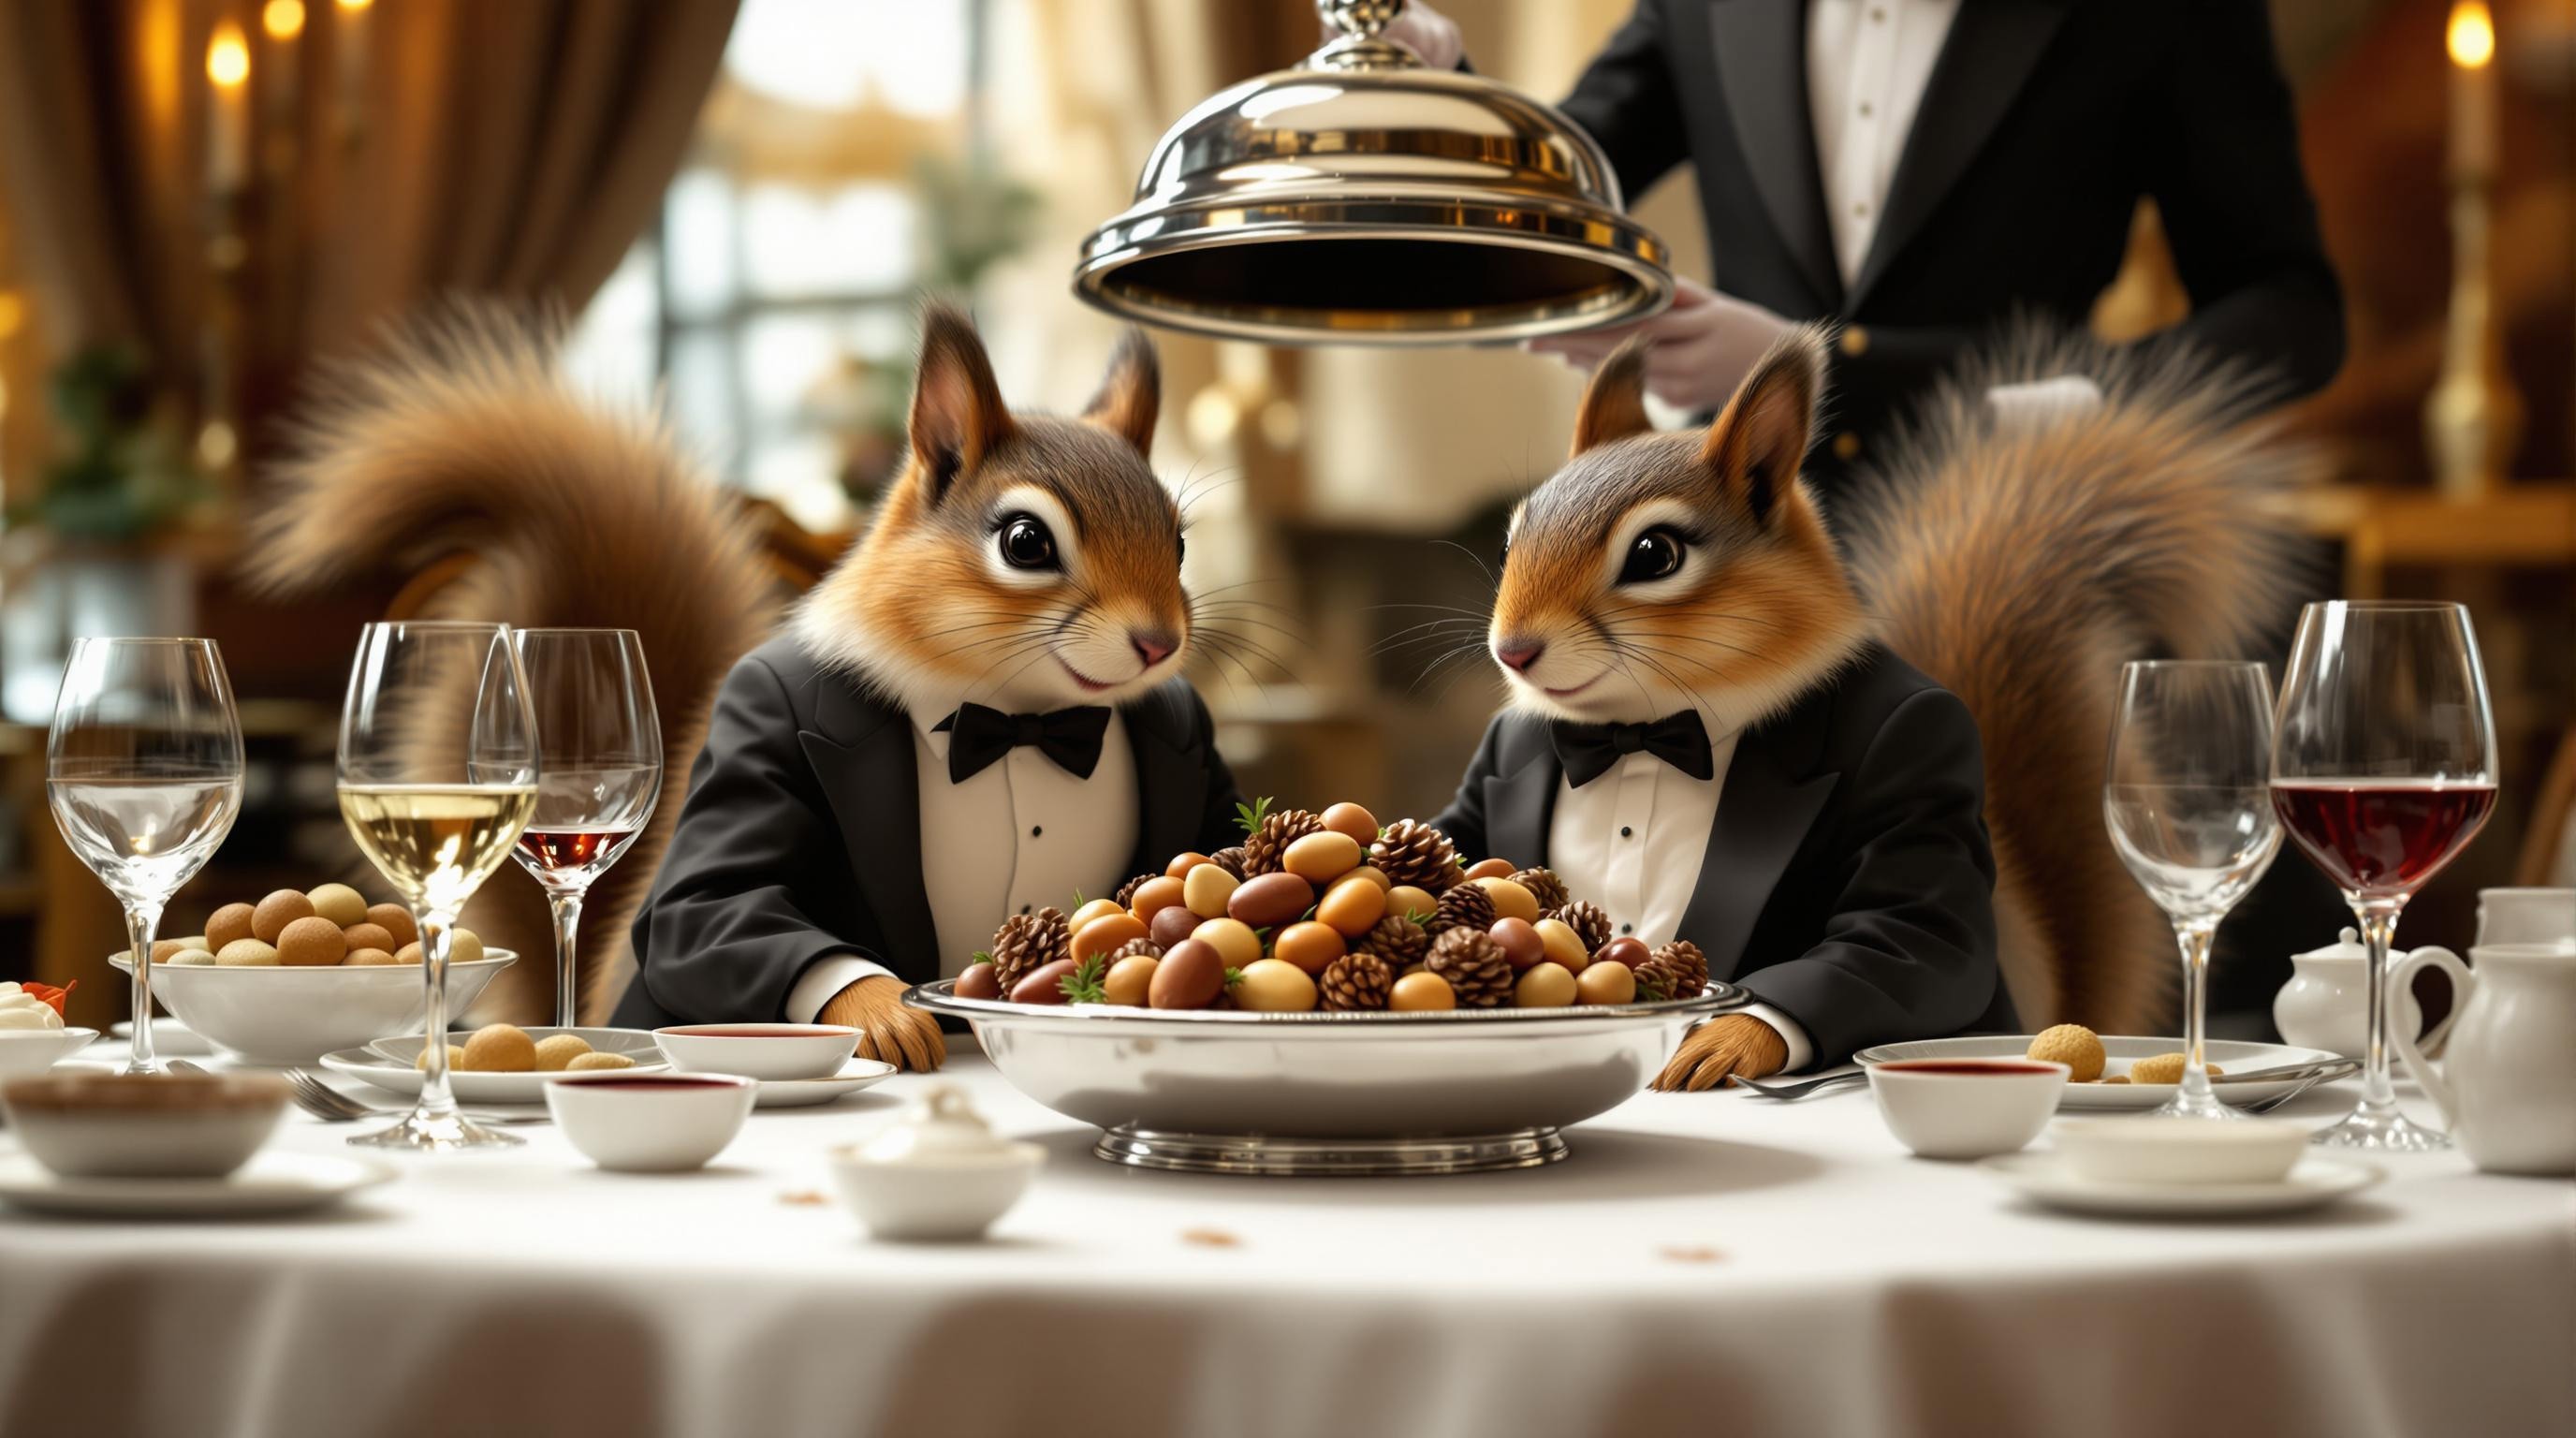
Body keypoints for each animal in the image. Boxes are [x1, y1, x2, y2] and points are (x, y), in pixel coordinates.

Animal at [248, 302, 1245, 1069]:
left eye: (1178, 540)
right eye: (1026, 542)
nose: (1160, 643)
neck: (1020, 719)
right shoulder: (755, 735)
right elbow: (716, 904)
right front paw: (879, 1009)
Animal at [1435, 326, 2306, 1088]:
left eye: (1655, 554)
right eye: (1512, 537)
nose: (1514, 649)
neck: (1642, 736)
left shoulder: (1917, 757)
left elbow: (1912, 934)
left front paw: (1729, 1038)